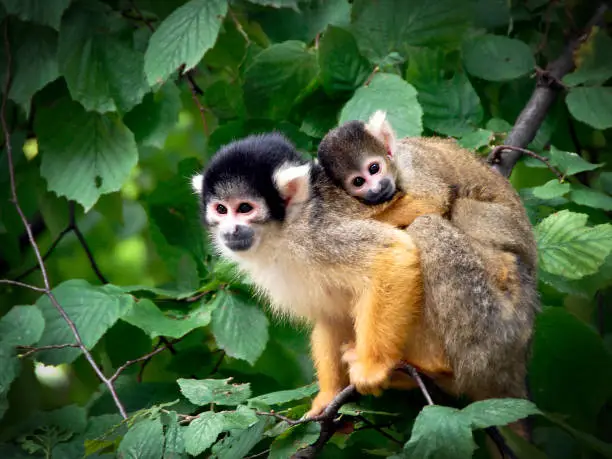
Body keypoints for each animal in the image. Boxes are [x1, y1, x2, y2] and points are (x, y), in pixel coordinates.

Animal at [318, 113, 536, 404]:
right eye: (358, 182)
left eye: (374, 168)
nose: (376, 189)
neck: (395, 166)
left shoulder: (413, 166)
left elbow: (431, 199)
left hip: (509, 231)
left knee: (459, 208)